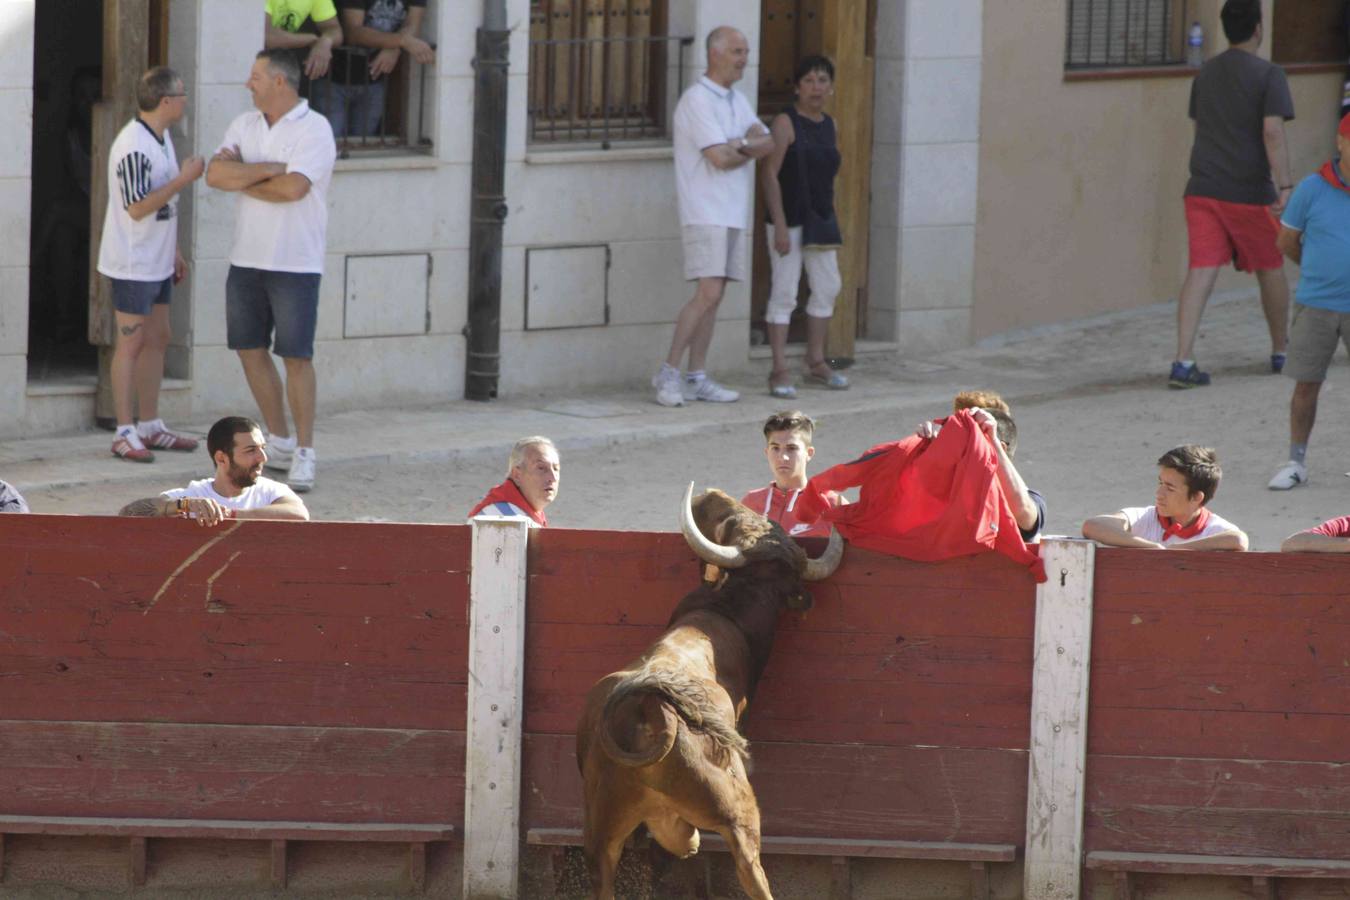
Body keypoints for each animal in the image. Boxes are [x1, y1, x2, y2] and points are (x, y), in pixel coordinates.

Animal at [572, 485, 842, 900]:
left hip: (601, 827)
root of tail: (650, 707)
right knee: (748, 865)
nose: (712, 497)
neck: (725, 608)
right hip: (735, 807)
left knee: (611, 871)